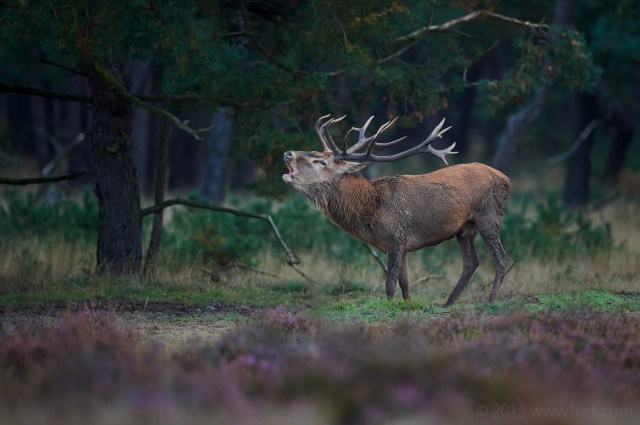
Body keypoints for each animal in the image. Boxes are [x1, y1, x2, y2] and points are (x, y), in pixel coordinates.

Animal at [282, 114, 510, 306]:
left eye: (319, 160)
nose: (287, 153)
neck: (371, 212)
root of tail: (505, 179)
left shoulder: (396, 238)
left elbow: (390, 283)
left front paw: (390, 307)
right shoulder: (403, 245)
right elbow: (405, 282)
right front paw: (408, 305)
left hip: (488, 216)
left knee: (501, 258)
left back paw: (491, 300)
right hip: (464, 229)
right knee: (471, 262)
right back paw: (448, 303)